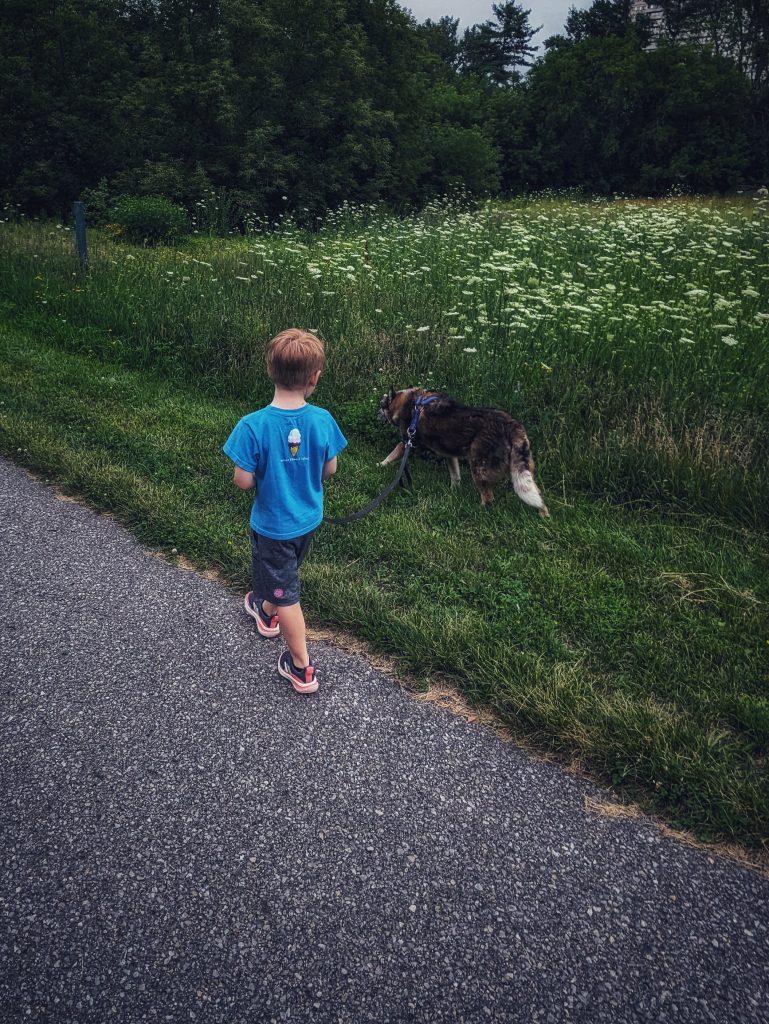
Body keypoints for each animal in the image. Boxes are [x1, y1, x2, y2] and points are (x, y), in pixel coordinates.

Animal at [378, 387, 549, 516]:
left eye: (381, 405)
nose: (376, 414)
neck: (411, 402)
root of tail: (511, 425)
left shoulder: (408, 442)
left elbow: (393, 453)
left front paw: (381, 465)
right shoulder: (449, 454)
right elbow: (455, 475)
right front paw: (453, 492)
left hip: (479, 468)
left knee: (488, 498)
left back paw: (478, 511)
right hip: (523, 471)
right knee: (537, 494)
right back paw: (543, 515)